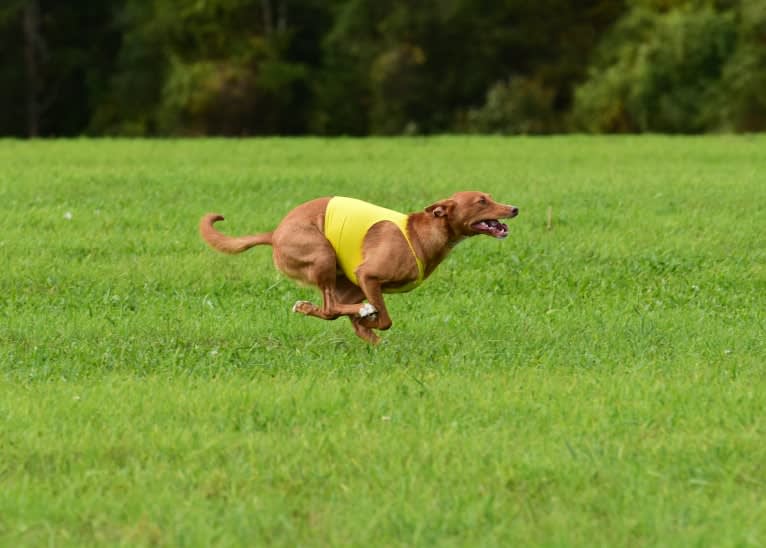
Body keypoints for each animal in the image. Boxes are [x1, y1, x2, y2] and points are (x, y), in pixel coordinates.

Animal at [201, 192, 520, 342]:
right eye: (481, 201)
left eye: (490, 197)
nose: (514, 208)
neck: (419, 234)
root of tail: (275, 233)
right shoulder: (368, 275)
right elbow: (385, 319)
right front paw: (369, 320)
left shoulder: (362, 282)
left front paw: (367, 329)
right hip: (324, 256)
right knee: (331, 307)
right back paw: (362, 314)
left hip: (345, 282)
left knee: (329, 311)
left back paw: (311, 309)